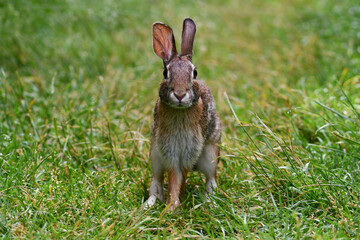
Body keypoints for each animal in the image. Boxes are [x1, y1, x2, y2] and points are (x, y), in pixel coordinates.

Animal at [145, 18, 221, 210]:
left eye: (194, 72)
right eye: (165, 72)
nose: (180, 94)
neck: (179, 111)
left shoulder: (190, 148)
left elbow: (181, 175)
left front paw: (175, 204)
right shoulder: (168, 148)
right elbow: (174, 175)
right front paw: (172, 206)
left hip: (211, 153)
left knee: (211, 178)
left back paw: (209, 201)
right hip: (154, 154)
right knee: (156, 179)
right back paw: (149, 203)